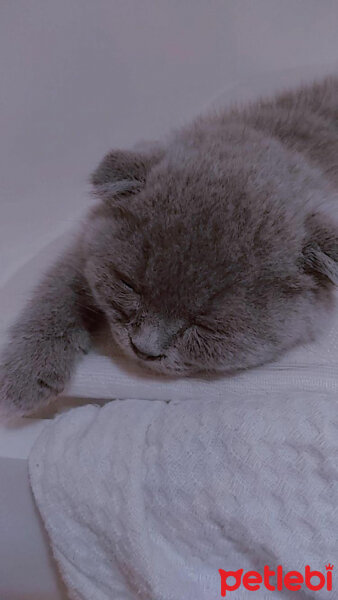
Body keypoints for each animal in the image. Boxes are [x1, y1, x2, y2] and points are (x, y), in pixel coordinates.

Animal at [0, 78, 338, 418]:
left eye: (206, 324)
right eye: (128, 284)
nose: (143, 349)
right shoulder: (88, 239)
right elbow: (57, 290)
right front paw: (24, 374)